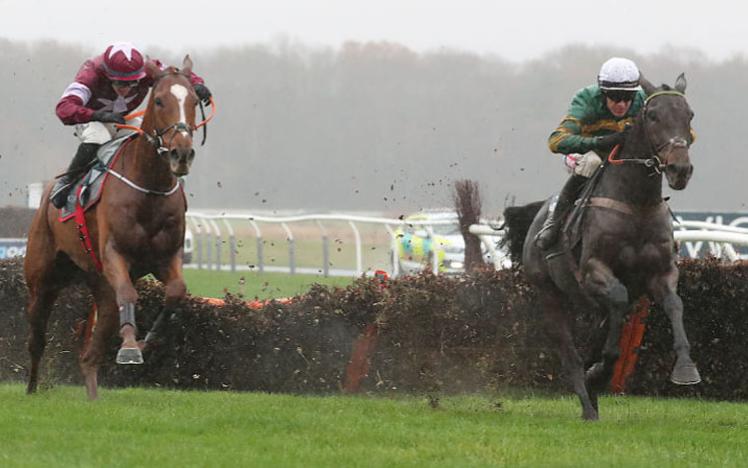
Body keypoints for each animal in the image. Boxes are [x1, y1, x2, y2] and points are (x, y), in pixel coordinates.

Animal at [24, 55, 205, 398]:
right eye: (159, 100)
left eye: (193, 101)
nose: (182, 154)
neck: (148, 188)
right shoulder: (114, 254)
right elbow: (128, 294)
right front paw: (130, 347)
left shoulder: (167, 256)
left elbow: (176, 291)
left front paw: (145, 342)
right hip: (43, 280)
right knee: (37, 338)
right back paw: (31, 390)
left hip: (98, 284)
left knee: (89, 355)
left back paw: (93, 397)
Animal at [502, 76, 700, 420]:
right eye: (653, 116)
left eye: (688, 115)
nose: (680, 169)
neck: (636, 203)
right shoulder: (594, 270)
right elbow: (617, 301)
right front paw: (598, 373)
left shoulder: (661, 271)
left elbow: (675, 304)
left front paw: (686, 369)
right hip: (550, 294)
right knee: (570, 353)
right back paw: (587, 402)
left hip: (591, 303)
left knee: (600, 329)